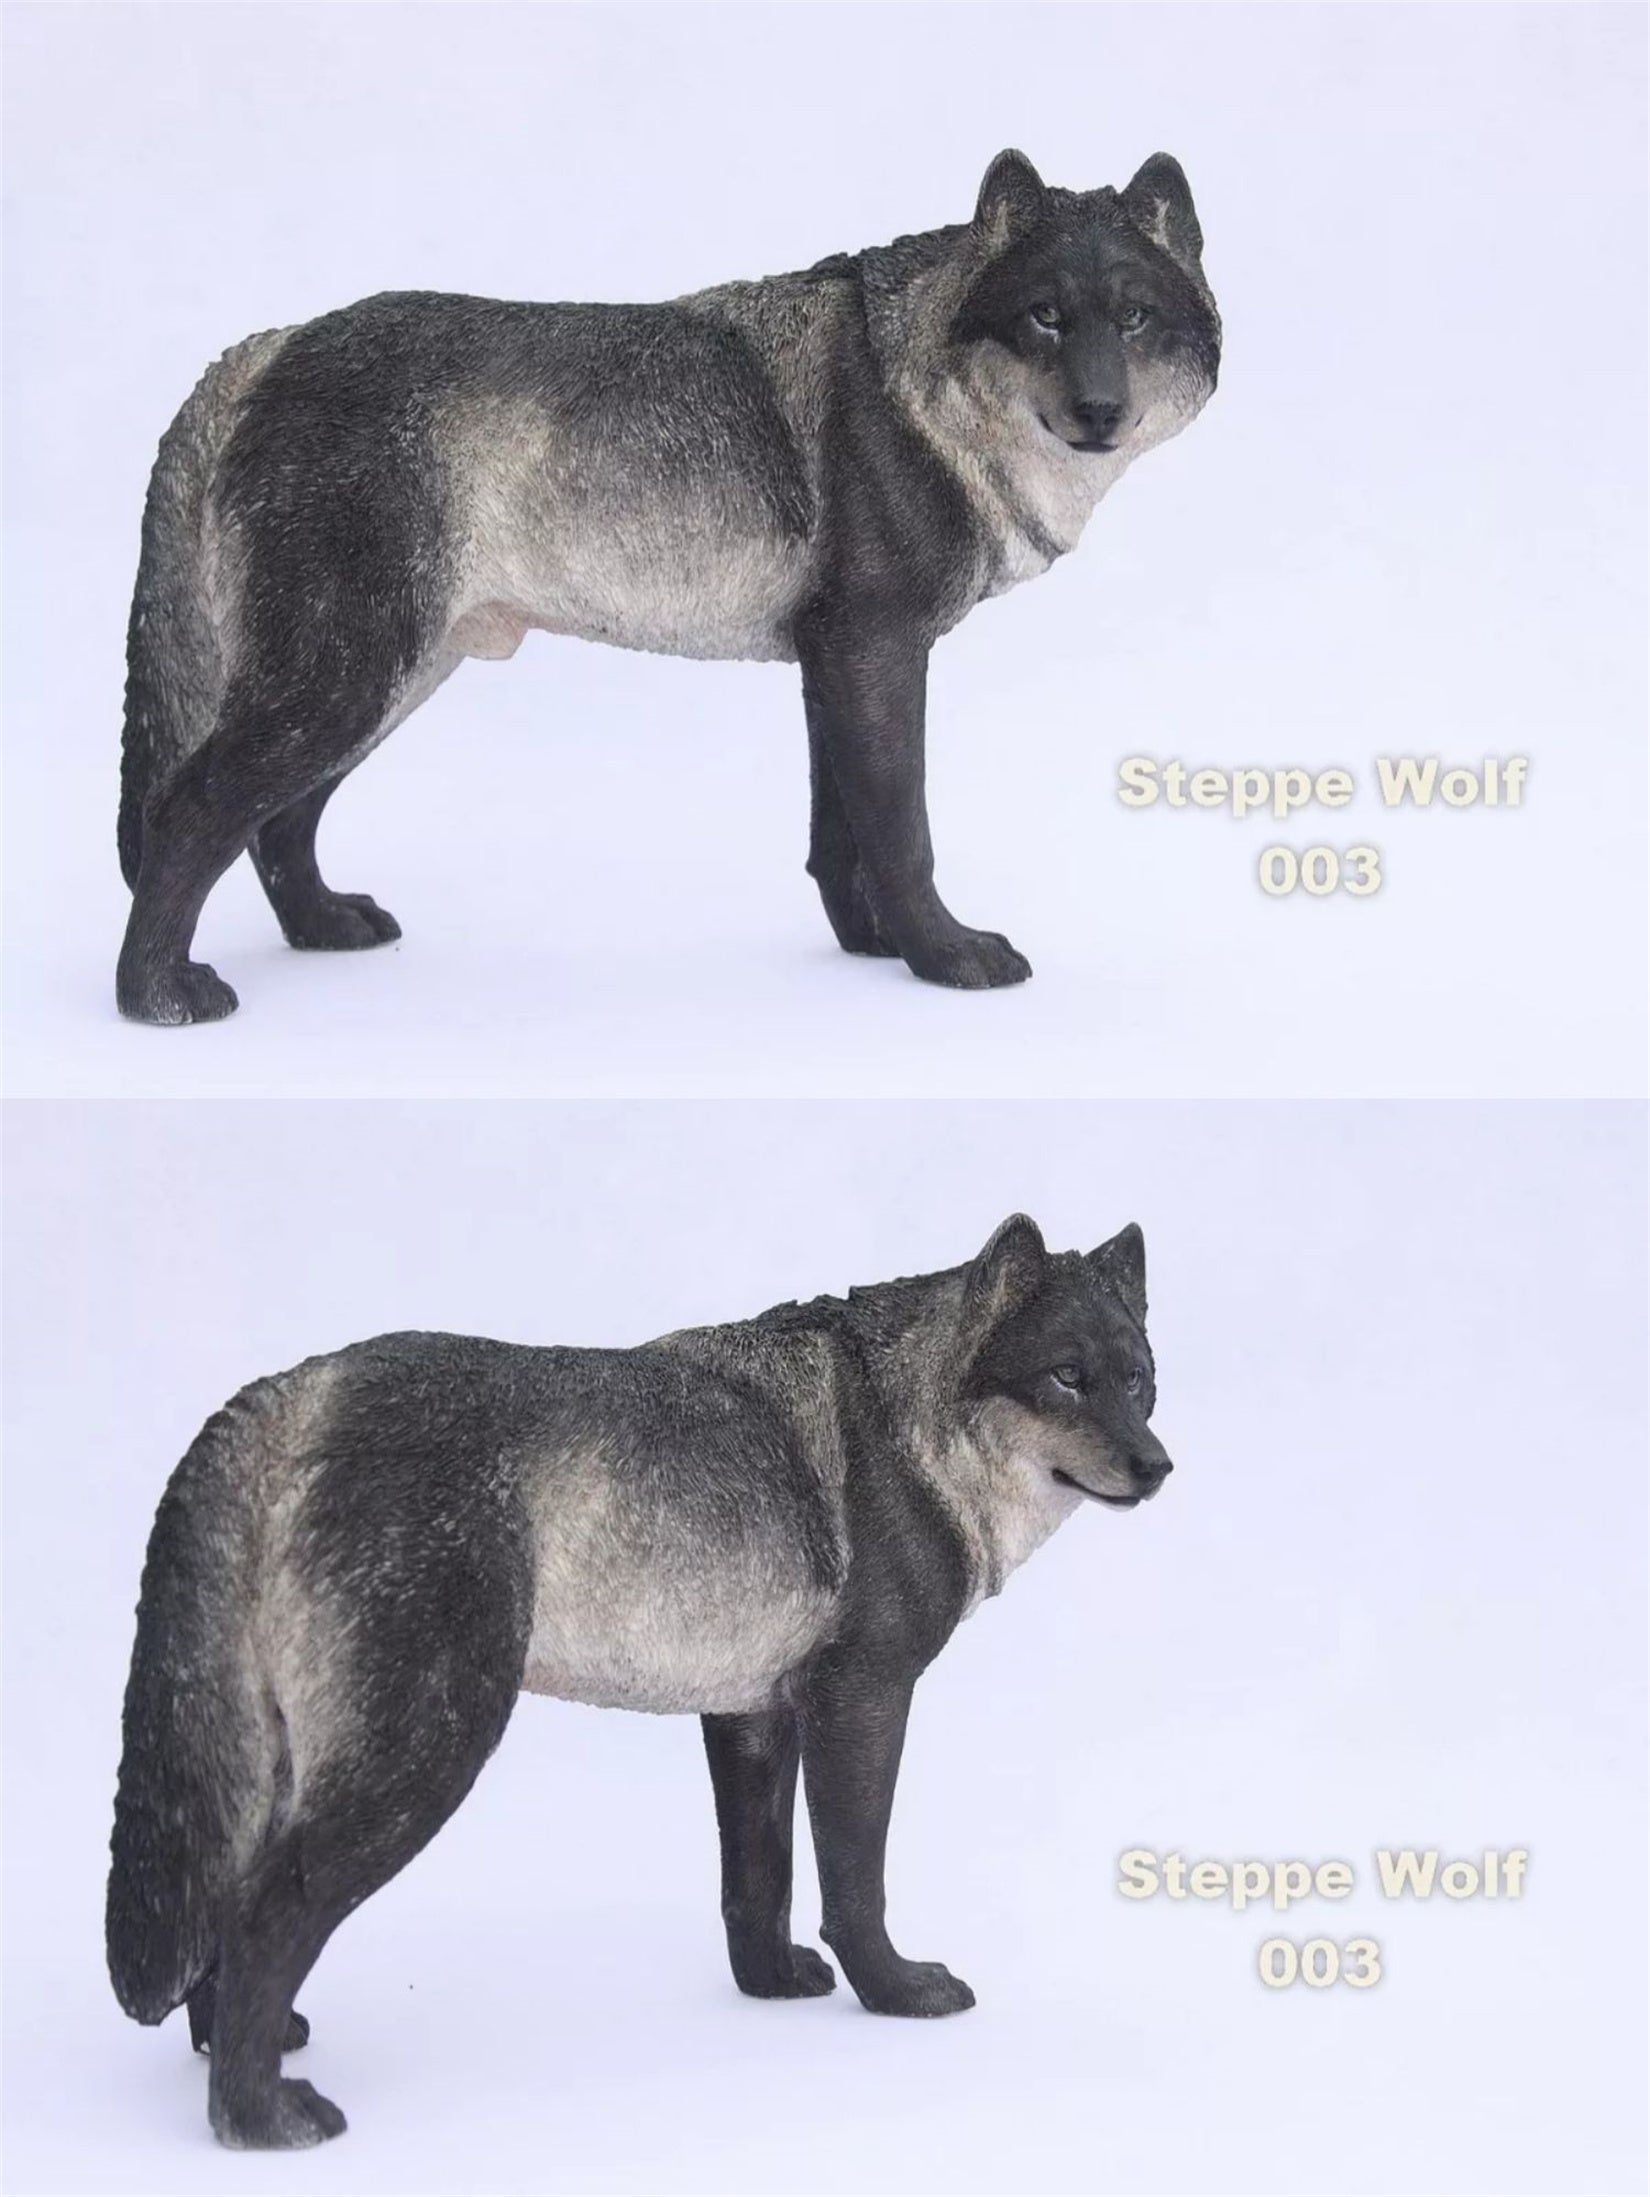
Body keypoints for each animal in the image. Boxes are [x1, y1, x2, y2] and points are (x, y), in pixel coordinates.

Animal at [106, 1215, 1172, 2146]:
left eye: (1140, 1381)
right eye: (1066, 1376)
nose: (1158, 1466)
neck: (907, 1420)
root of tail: (284, 1396)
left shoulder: (751, 1715)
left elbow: (758, 1881)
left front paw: (770, 1985)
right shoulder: (861, 1701)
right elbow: (854, 1883)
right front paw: (897, 1993)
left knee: (226, 1907)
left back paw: (238, 2056)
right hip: (424, 1754)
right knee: (263, 1913)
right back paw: (258, 2119)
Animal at [115, 149, 1219, 1024]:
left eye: (1133, 317)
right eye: (1045, 317)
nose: (1099, 411)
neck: (922, 391)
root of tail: (266, 347)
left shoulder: (837, 663)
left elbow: (841, 839)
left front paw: (875, 951)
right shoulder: (875, 652)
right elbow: (902, 832)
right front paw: (944, 958)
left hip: (381, 689)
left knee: (276, 825)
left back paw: (322, 928)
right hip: (343, 685)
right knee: (188, 813)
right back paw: (157, 995)